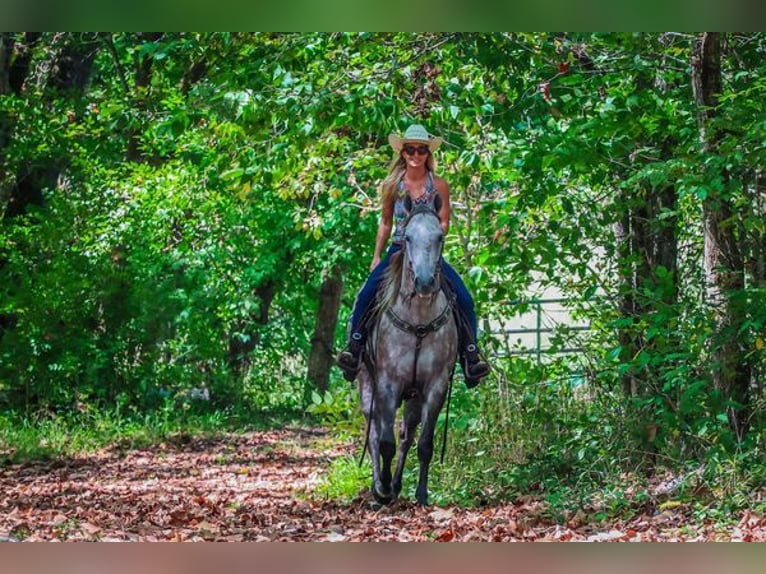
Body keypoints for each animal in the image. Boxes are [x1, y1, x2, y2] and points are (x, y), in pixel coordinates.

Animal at [358, 200, 460, 506]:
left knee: (407, 434)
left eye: (439, 237)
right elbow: (385, 443)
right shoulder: (388, 384)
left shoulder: (435, 386)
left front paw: (421, 494)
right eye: (408, 238)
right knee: (374, 433)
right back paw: (380, 486)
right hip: (368, 385)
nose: (424, 283)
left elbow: (424, 443)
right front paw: (383, 490)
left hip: (414, 395)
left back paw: (397, 484)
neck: (419, 321)